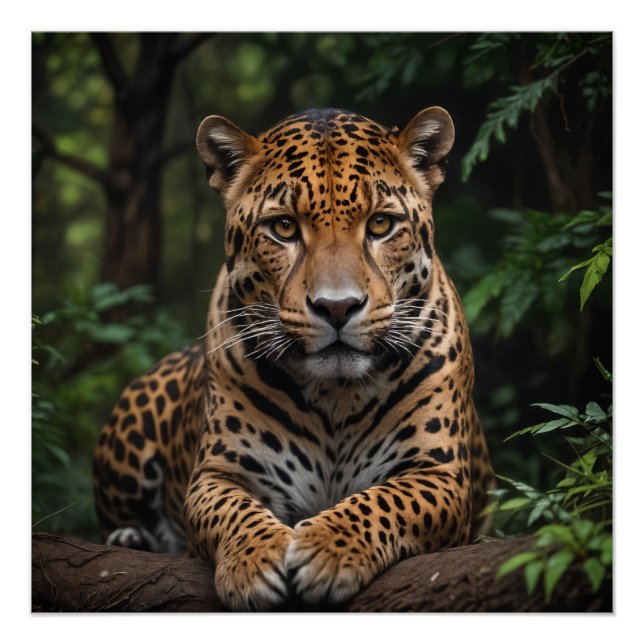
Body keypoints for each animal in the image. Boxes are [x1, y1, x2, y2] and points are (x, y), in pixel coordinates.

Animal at [93, 106, 495, 611]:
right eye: (283, 228)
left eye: (381, 225)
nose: (338, 307)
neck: (336, 396)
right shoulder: (218, 474)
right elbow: (232, 511)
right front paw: (255, 560)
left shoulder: (439, 473)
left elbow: (384, 500)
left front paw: (329, 548)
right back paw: (131, 538)